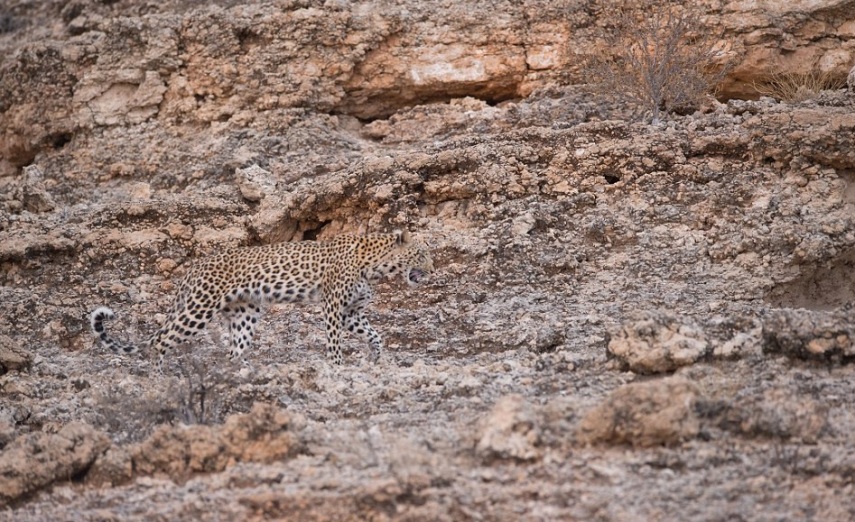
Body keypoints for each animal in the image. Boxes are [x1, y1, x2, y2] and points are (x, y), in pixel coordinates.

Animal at [92, 229, 434, 370]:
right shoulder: (333, 306)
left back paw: (243, 374)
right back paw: (159, 378)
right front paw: (338, 367)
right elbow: (335, 341)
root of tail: (196, 266)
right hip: (200, 307)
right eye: (421, 254)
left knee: (233, 352)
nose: (433, 269)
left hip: (245, 313)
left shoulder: (351, 312)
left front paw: (376, 357)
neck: (375, 264)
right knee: (162, 340)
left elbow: (376, 335)